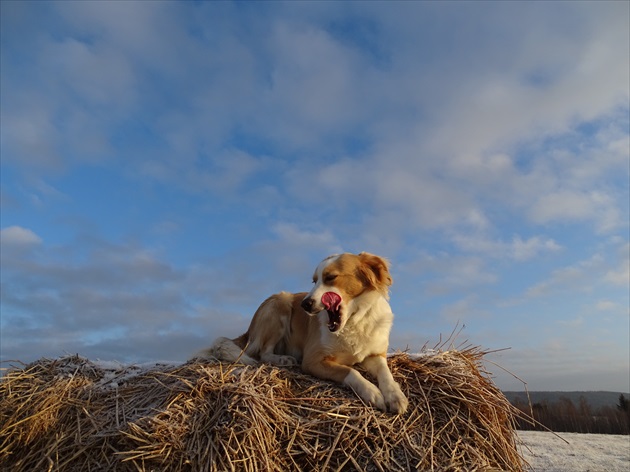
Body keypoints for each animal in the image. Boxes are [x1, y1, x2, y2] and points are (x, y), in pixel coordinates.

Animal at [200, 251, 412, 412]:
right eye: (314, 281)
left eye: (330, 277)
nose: (305, 304)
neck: (353, 321)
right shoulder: (312, 360)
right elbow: (349, 371)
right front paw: (372, 392)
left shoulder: (375, 354)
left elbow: (385, 372)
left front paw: (395, 395)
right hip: (280, 304)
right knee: (262, 353)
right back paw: (282, 359)